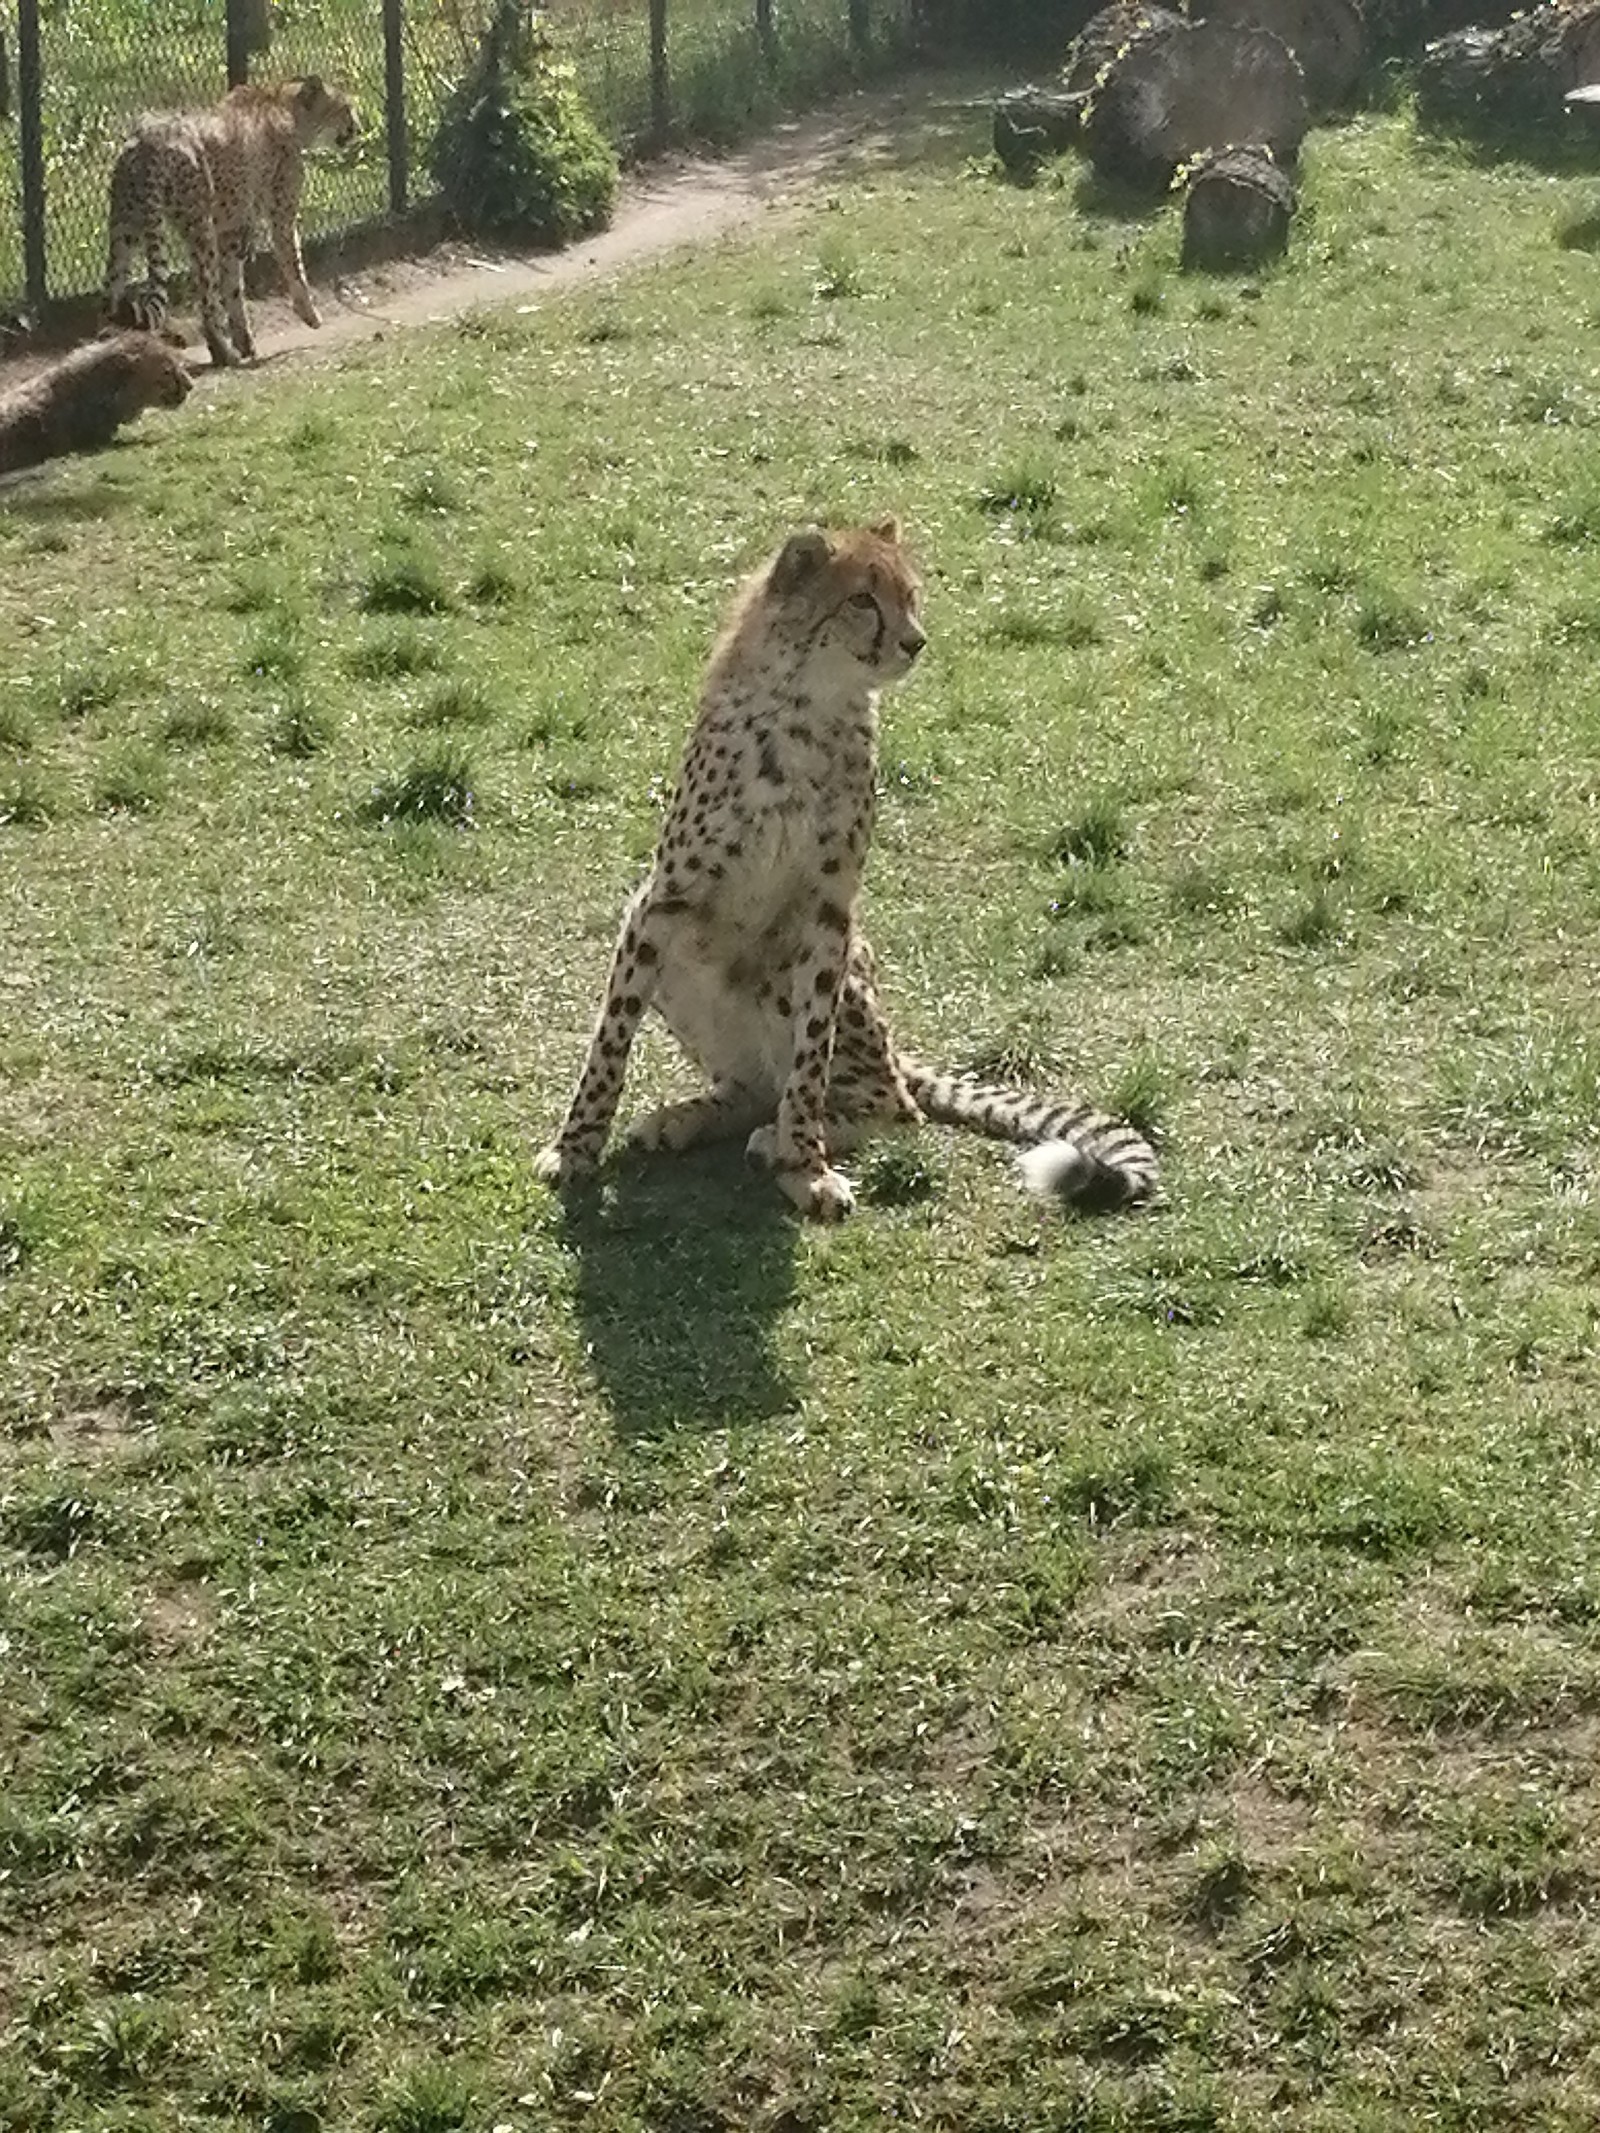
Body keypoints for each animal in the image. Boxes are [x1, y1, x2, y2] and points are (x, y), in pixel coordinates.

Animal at [105, 75, 358, 366]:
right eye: (345, 108)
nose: (358, 128)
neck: (283, 105)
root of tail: (148, 136)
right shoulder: (279, 217)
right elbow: (294, 266)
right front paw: (310, 314)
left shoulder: (231, 229)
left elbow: (234, 287)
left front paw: (245, 341)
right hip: (200, 229)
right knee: (206, 301)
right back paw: (224, 353)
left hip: (123, 228)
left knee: (111, 292)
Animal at [541, 518, 1169, 1228]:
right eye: (862, 601)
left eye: (911, 596)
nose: (915, 641)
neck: (808, 710)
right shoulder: (661, 901)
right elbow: (610, 1038)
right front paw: (575, 1147)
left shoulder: (827, 915)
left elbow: (811, 1057)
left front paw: (805, 1166)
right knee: (754, 1087)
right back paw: (685, 1119)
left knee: (894, 1105)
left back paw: (779, 1136)